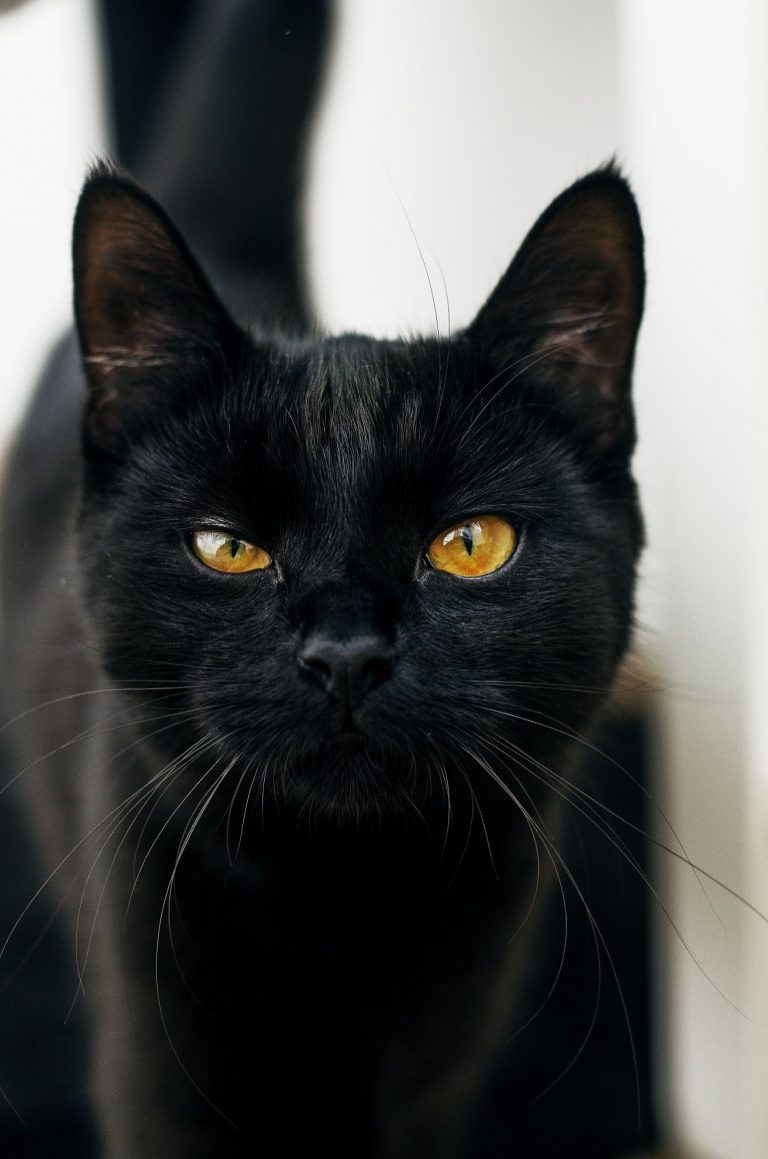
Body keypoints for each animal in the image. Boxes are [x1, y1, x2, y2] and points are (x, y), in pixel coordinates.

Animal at [0, 2, 644, 1149]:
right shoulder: (158, 1078)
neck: (345, 912)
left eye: (471, 544)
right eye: (228, 548)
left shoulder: (436, 1082)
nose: (346, 651)